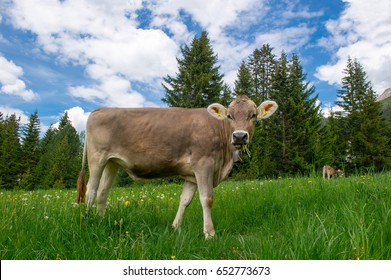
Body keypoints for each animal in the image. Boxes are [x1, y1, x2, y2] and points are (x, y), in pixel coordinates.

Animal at [76, 96, 278, 238]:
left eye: (253, 115)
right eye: (229, 116)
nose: (239, 136)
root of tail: (99, 110)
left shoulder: (192, 175)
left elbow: (185, 200)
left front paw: (175, 227)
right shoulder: (203, 164)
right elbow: (207, 199)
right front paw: (210, 233)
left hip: (112, 162)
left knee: (103, 192)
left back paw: (101, 221)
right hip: (97, 157)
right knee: (91, 190)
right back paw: (87, 221)